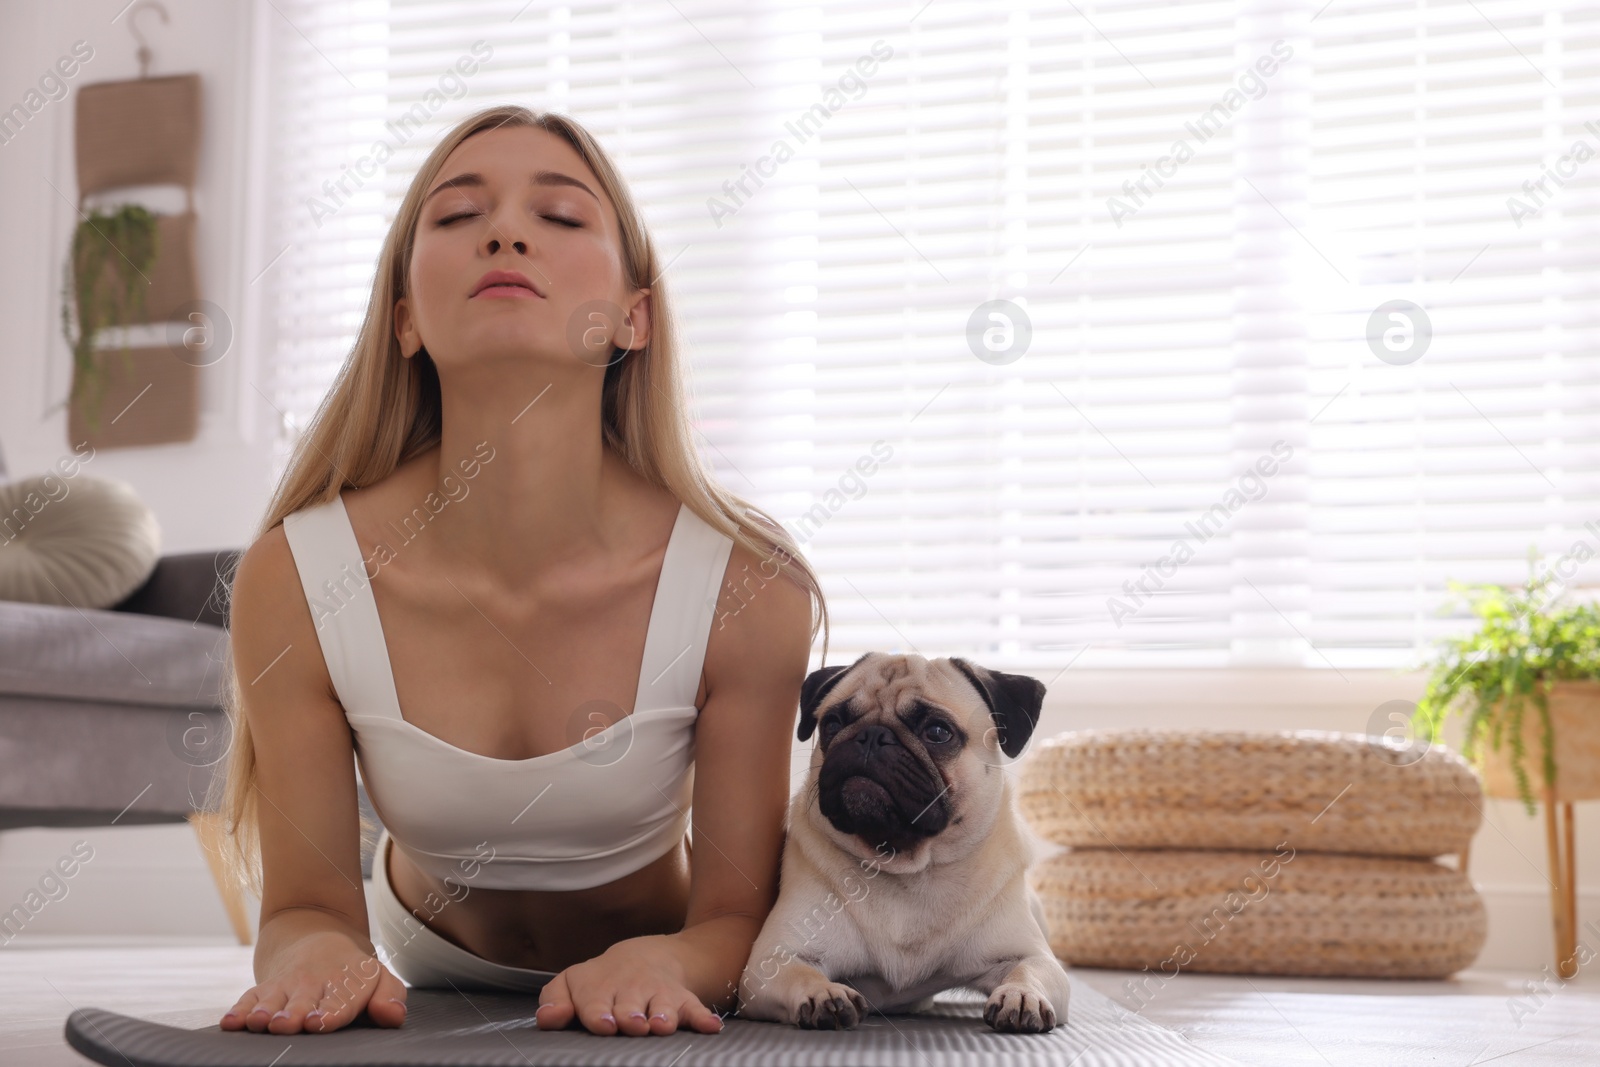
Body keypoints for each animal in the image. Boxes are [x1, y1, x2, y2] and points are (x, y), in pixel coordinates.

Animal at [739, 652, 1075, 1036]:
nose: (871, 735)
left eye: (938, 732)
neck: (907, 868)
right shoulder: (772, 961)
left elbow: (1028, 970)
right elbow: (800, 972)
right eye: (833, 724)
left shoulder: (1031, 956)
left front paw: (1021, 996)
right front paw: (823, 993)